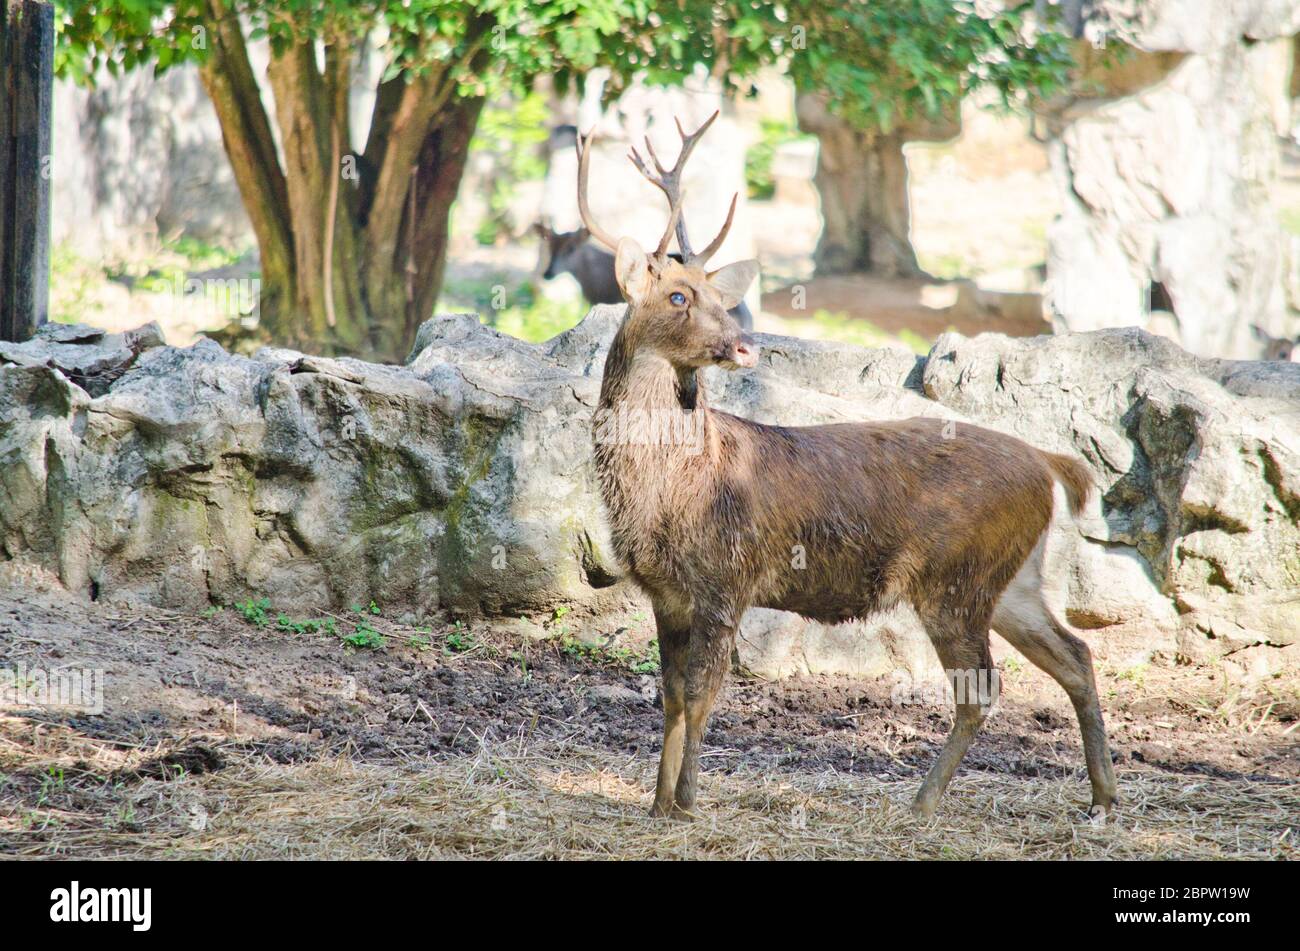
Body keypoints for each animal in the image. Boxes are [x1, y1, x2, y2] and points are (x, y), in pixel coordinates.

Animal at [580, 112, 1118, 823]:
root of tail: (1048, 462)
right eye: (676, 296)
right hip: (1013, 578)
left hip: (956, 579)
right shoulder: (666, 592)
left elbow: (699, 695)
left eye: (718, 298)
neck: (669, 489)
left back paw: (923, 801)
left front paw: (689, 801)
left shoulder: (727, 577)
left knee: (982, 687)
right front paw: (658, 803)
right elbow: (668, 696)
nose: (744, 346)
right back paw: (1103, 796)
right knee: (1076, 654)